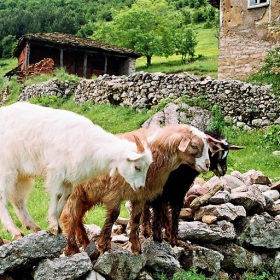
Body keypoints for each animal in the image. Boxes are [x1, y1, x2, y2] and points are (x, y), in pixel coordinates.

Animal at [0, 101, 153, 240]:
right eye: (137, 167)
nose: (140, 187)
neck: (89, 143)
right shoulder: (56, 170)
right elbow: (57, 194)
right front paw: (54, 225)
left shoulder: (69, 176)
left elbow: (66, 195)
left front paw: (56, 222)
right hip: (6, 169)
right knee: (3, 197)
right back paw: (15, 231)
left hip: (21, 175)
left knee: (18, 200)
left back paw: (33, 227)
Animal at [60, 124, 223, 256]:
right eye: (194, 146)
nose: (207, 165)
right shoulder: (115, 193)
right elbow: (113, 216)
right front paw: (104, 246)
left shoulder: (140, 195)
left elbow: (136, 219)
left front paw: (136, 247)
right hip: (75, 192)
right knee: (69, 216)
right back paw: (72, 249)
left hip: (88, 194)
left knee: (77, 217)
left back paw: (86, 243)